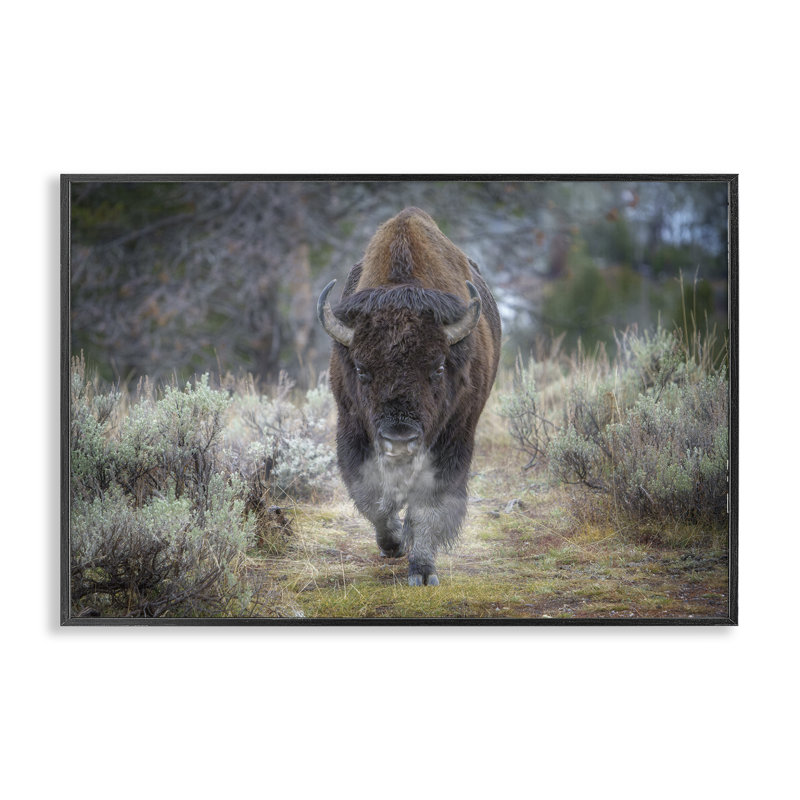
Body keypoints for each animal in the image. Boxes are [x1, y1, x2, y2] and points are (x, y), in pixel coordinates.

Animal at [317, 208, 501, 586]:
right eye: (361, 369)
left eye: (438, 367)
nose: (399, 440)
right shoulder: (352, 429)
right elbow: (373, 497)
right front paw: (393, 545)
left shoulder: (453, 438)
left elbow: (429, 504)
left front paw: (423, 570)